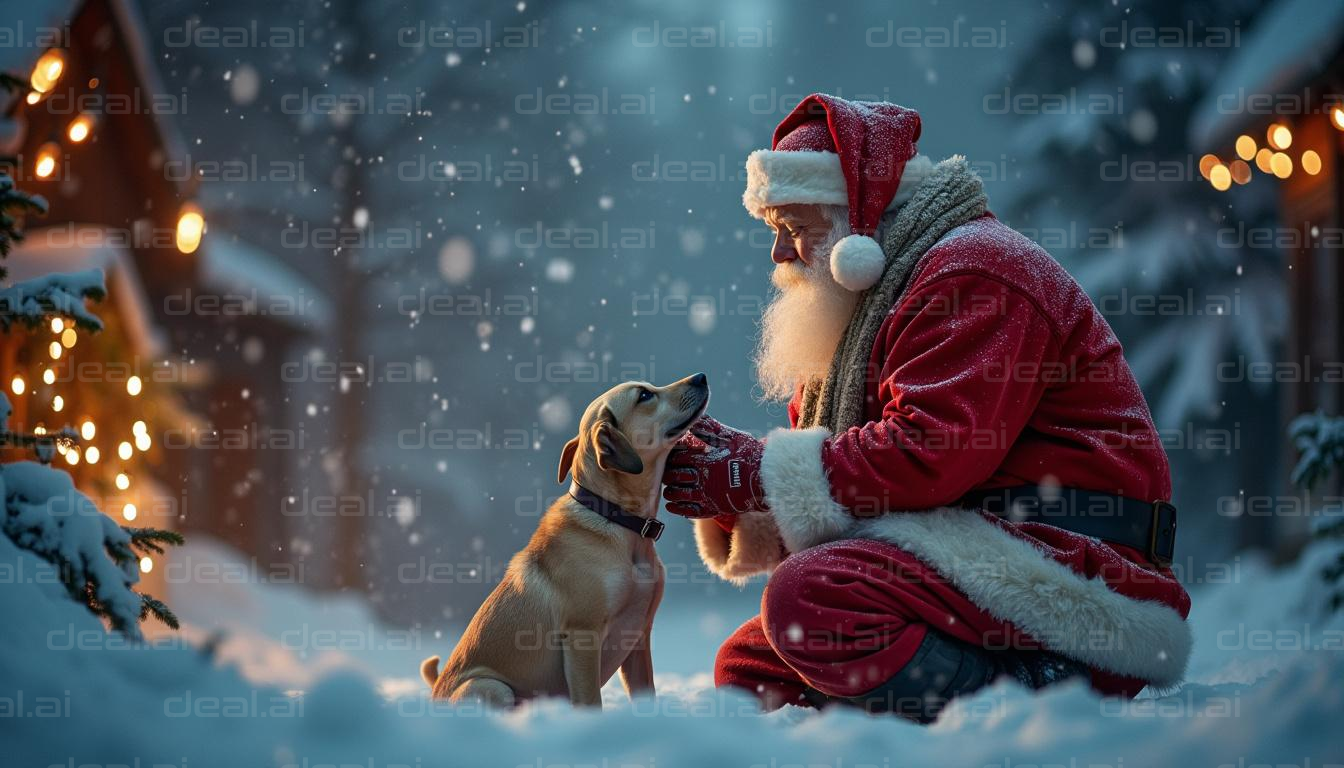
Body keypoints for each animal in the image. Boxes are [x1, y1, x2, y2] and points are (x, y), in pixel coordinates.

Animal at [419, 373, 715, 710]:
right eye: (644, 395)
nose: (701, 377)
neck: (619, 521)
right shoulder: (582, 637)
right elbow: (590, 700)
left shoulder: (639, 637)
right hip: (492, 687)